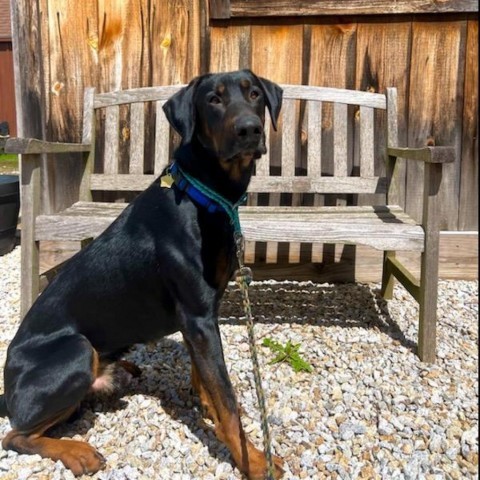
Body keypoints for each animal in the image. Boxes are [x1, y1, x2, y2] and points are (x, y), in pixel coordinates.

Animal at [0, 69, 284, 478]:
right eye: (213, 100)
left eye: (255, 94)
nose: (250, 129)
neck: (204, 196)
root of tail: (7, 389)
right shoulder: (197, 315)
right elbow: (226, 400)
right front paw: (254, 459)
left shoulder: (200, 314)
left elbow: (206, 377)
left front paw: (207, 407)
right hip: (76, 349)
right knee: (16, 436)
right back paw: (78, 452)